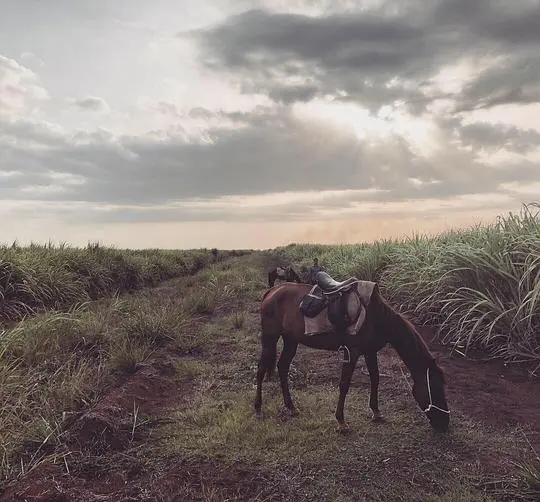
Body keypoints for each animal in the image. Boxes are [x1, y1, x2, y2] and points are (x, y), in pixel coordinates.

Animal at [255, 278, 450, 432]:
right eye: (436, 389)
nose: (445, 424)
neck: (376, 317)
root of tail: (272, 291)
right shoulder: (352, 352)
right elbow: (344, 385)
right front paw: (341, 421)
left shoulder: (370, 352)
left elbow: (375, 378)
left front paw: (376, 412)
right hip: (270, 338)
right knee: (261, 369)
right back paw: (257, 408)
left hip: (290, 340)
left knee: (282, 367)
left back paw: (291, 406)